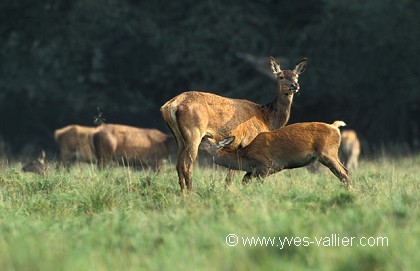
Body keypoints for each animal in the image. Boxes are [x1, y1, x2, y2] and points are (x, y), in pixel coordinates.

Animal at [159, 57, 306, 193]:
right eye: (281, 76)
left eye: (296, 76)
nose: (295, 85)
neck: (267, 119)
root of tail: (170, 105)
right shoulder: (248, 140)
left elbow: (231, 174)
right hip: (194, 132)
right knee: (187, 165)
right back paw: (191, 193)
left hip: (179, 137)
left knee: (178, 165)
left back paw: (183, 194)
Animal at [199, 121, 352, 191]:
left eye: (204, 140)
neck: (245, 157)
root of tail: (335, 127)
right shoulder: (252, 171)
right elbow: (244, 181)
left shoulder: (265, 165)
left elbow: (258, 184)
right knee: (344, 172)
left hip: (328, 153)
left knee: (344, 173)